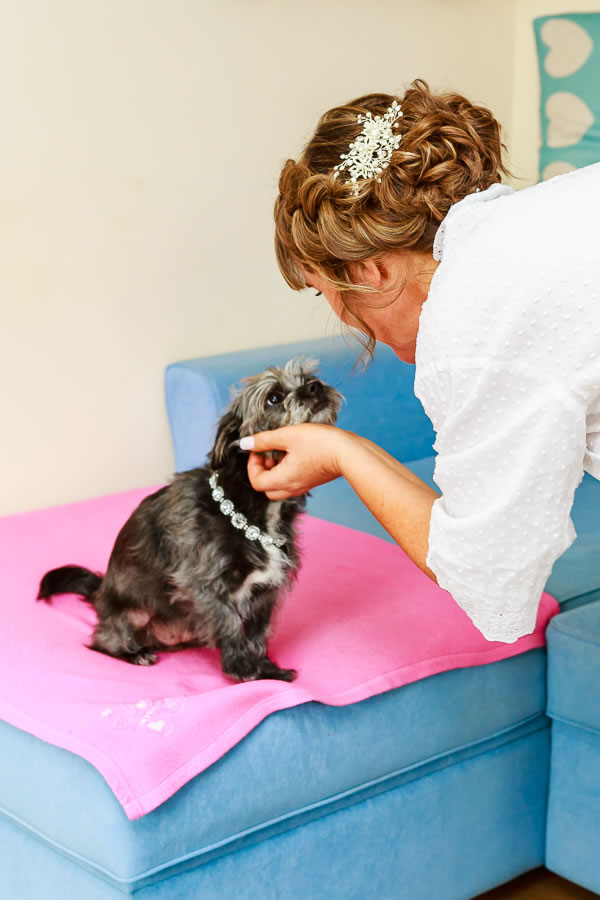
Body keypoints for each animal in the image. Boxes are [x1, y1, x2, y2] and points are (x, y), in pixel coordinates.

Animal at [37, 358, 342, 682]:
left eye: (307, 378)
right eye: (273, 397)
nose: (315, 387)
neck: (250, 509)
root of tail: (100, 592)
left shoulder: (266, 594)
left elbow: (258, 634)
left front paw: (267, 669)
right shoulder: (203, 585)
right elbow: (231, 625)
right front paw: (243, 668)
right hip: (133, 614)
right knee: (102, 642)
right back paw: (134, 654)